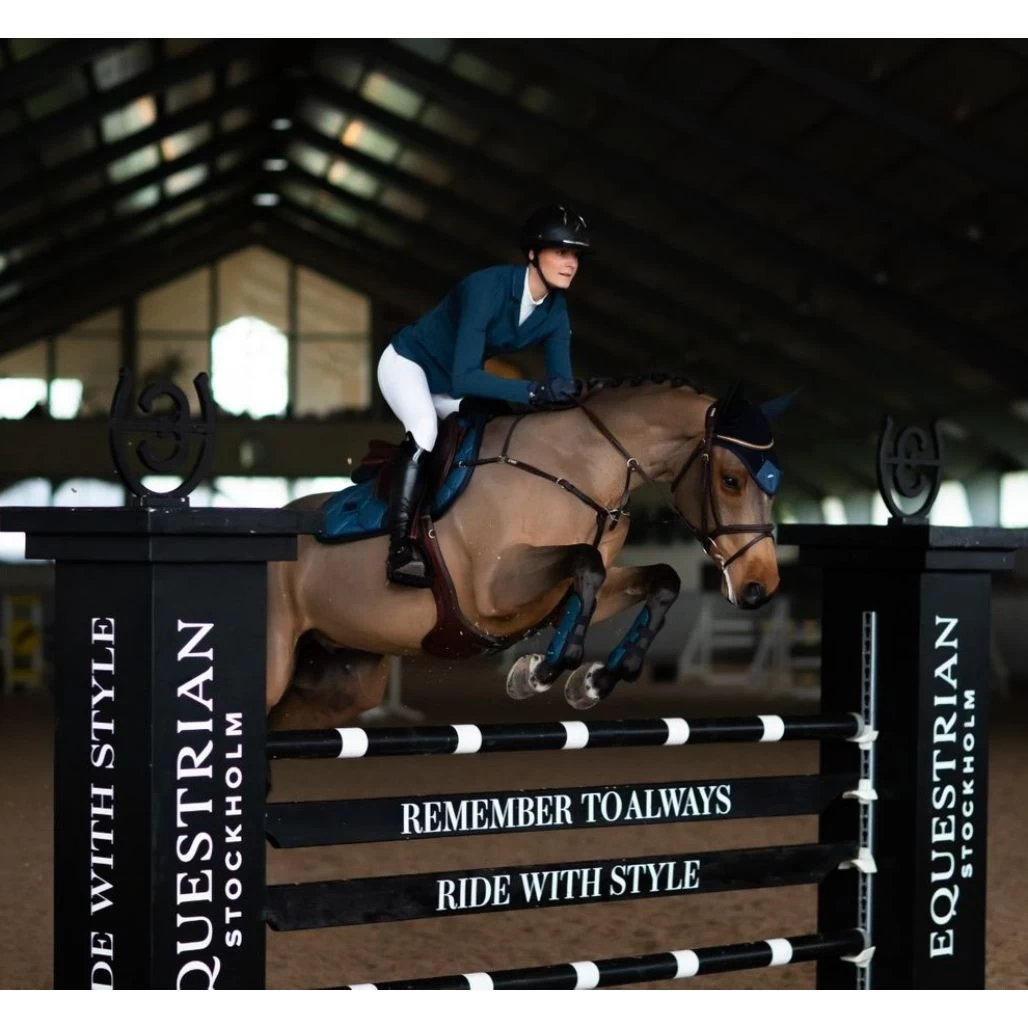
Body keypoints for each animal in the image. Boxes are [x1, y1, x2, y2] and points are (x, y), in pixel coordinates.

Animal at [265, 377, 787, 730]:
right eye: (731, 480)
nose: (760, 587)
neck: (577, 470)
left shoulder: (555, 594)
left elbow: (659, 579)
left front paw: (595, 681)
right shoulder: (492, 590)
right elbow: (586, 565)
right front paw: (539, 671)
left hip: (339, 685)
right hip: (276, 667)